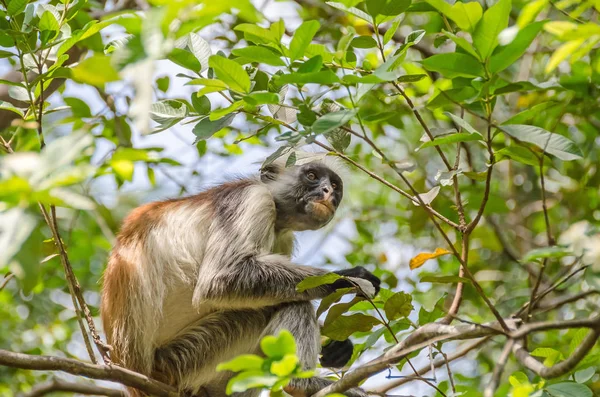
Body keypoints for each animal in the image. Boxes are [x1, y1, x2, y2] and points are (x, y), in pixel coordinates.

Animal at [98, 152, 380, 396]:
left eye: (334, 184)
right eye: (311, 175)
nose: (328, 192)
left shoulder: (282, 236)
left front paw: (335, 346)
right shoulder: (251, 198)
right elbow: (222, 279)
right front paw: (347, 278)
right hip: (180, 360)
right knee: (288, 304)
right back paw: (299, 382)